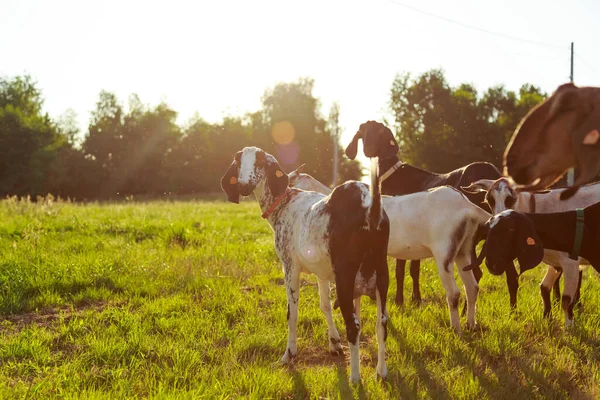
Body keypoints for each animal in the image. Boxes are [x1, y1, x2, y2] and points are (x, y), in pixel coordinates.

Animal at [220, 146, 390, 382]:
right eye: (238, 160)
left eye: (260, 162)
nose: (244, 185)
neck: (284, 203)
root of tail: (369, 209)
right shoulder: (322, 272)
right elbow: (324, 305)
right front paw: (334, 344)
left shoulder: (289, 265)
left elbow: (292, 311)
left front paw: (289, 353)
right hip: (382, 273)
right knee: (381, 323)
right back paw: (381, 372)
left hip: (345, 276)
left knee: (354, 325)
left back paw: (355, 378)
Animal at [288, 168, 488, 332]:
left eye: (291, 180)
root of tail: (468, 206)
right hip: (463, 251)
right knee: (472, 287)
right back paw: (471, 325)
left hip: (444, 252)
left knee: (454, 293)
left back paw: (456, 329)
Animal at [462, 178, 596, 324]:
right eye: (489, 200)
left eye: (511, 198)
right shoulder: (556, 263)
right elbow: (544, 288)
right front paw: (547, 319)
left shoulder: (570, 263)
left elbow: (566, 300)